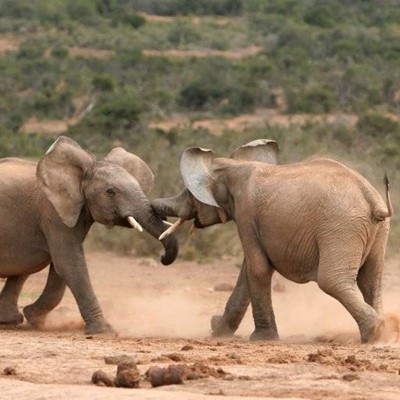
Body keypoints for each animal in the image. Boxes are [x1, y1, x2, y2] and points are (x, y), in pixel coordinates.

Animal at [0, 137, 178, 334]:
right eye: (110, 192)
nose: (162, 257)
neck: (81, 175)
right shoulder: (53, 213)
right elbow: (69, 263)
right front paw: (104, 331)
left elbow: (61, 268)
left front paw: (33, 317)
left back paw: (10, 320)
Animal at [154, 139, 394, 342]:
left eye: (189, 193)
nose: (162, 256)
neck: (233, 167)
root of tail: (372, 200)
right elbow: (248, 270)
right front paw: (218, 330)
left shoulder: (246, 213)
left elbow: (257, 268)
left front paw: (261, 338)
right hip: (375, 230)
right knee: (370, 279)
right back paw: (382, 333)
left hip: (341, 226)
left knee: (332, 280)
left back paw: (374, 332)